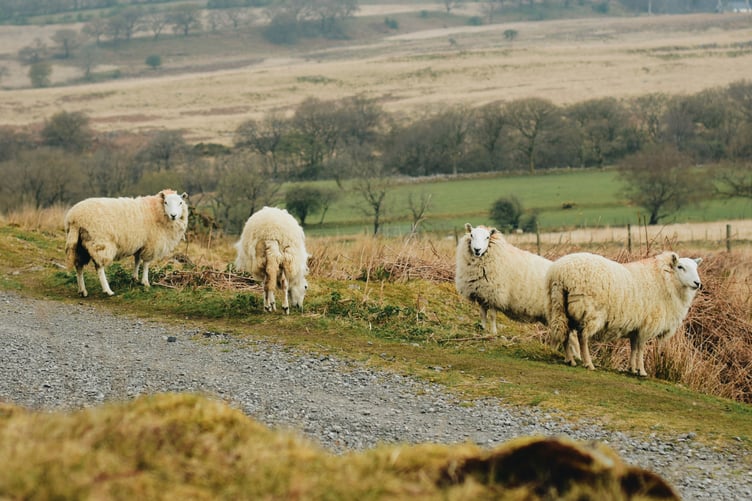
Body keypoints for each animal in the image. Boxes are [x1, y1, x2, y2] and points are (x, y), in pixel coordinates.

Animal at [546, 251, 702, 377]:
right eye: (680, 267)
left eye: (696, 268)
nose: (697, 283)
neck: (665, 280)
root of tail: (560, 273)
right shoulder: (647, 325)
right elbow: (640, 348)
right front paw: (642, 371)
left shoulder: (637, 327)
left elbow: (633, 347)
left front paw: (632, 369)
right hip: (590, 311)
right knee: (583, 337)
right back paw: (588, 363)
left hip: (560, 307)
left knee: (565, 333)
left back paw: (570, 360)